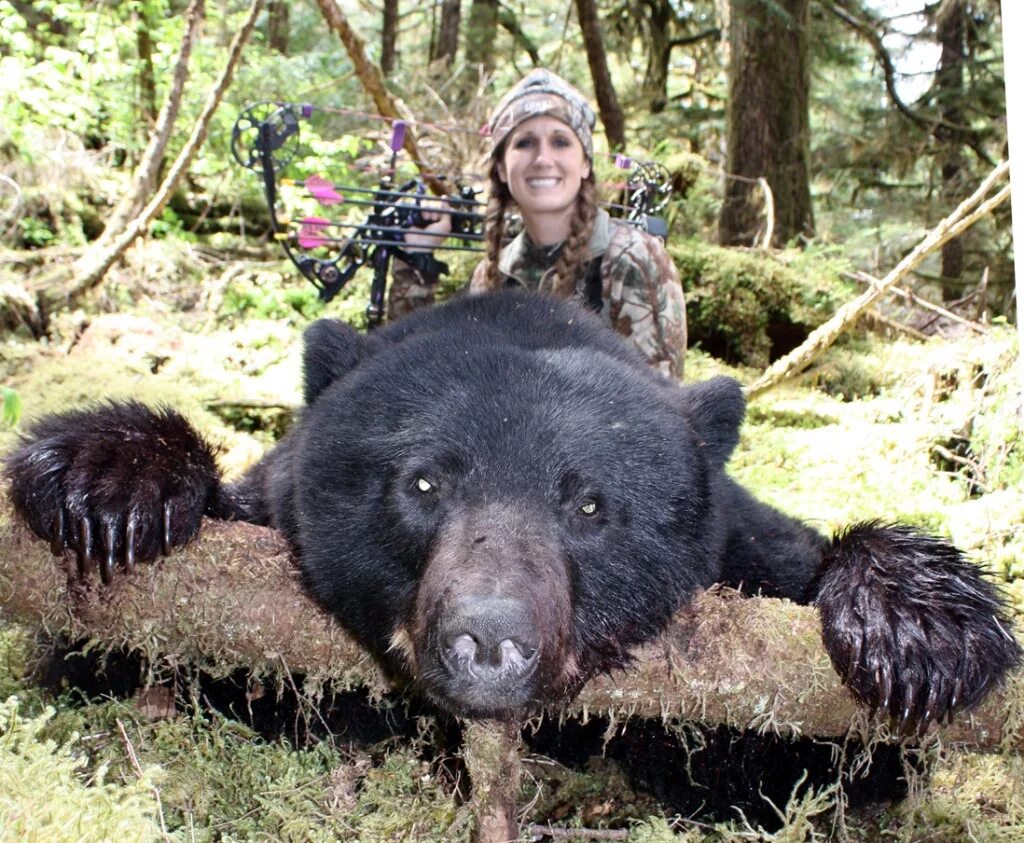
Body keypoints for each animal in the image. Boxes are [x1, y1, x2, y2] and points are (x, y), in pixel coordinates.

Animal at [4, 290, 1019, 725]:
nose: (489, 636)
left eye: (591, 504)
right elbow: (92, 663)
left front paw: (921, 625)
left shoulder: (740, 542)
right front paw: (109, 477)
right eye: (424, 482)